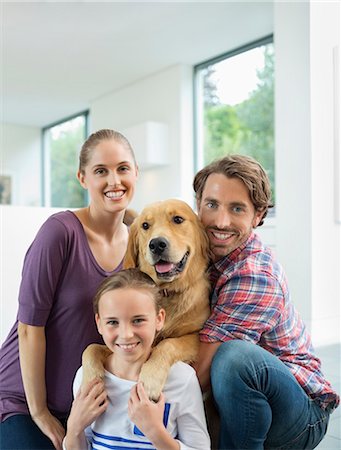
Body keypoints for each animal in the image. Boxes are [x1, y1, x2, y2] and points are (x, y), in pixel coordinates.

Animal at [82, 200, 210, 400]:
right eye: (145, 225)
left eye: (178, 219)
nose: (157, 244)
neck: (165, 291)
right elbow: (91, 347)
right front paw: (90, 379)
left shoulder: (196, 335)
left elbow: (168, 344)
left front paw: (150, 380)